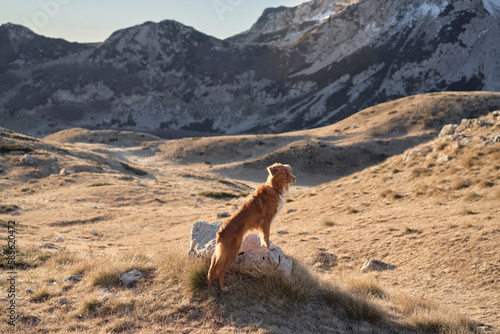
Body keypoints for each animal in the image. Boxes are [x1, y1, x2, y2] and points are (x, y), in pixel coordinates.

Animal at [208, 162, 296, 290]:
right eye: (284, 172)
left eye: (290, 171)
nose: (295, 178)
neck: (274, 188)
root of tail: (220, 232)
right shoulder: (266, 221)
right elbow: (266, 236)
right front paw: (269, 248)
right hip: (233, 250)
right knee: (222, 269)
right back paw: (223, 287)